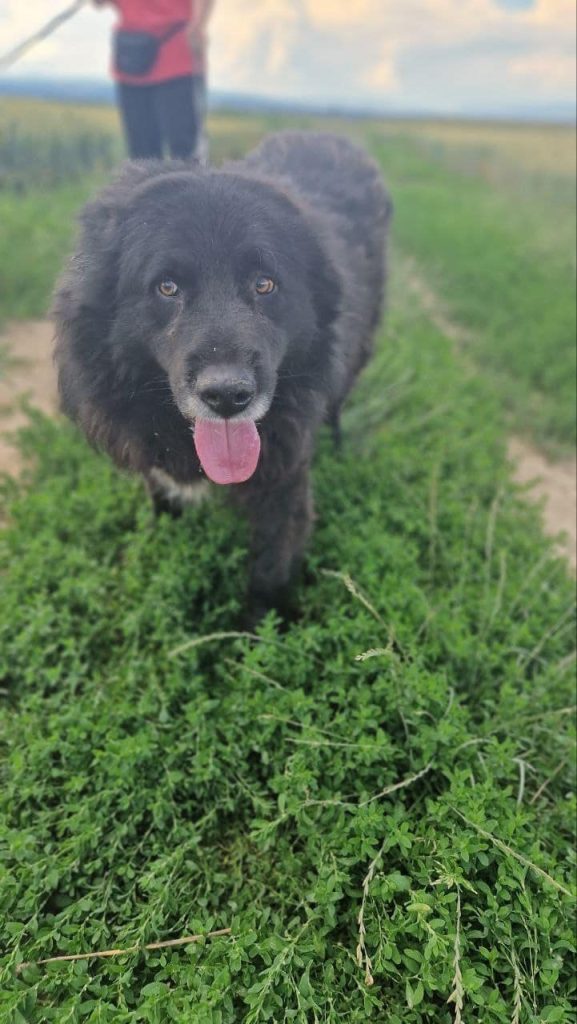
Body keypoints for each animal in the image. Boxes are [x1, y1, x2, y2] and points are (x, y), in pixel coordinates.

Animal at [54, 132, 391, 618]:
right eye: (167, 287)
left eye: (265, 284)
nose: (228, 396)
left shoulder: (284, 482)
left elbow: (269, 576)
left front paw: (259, 635)